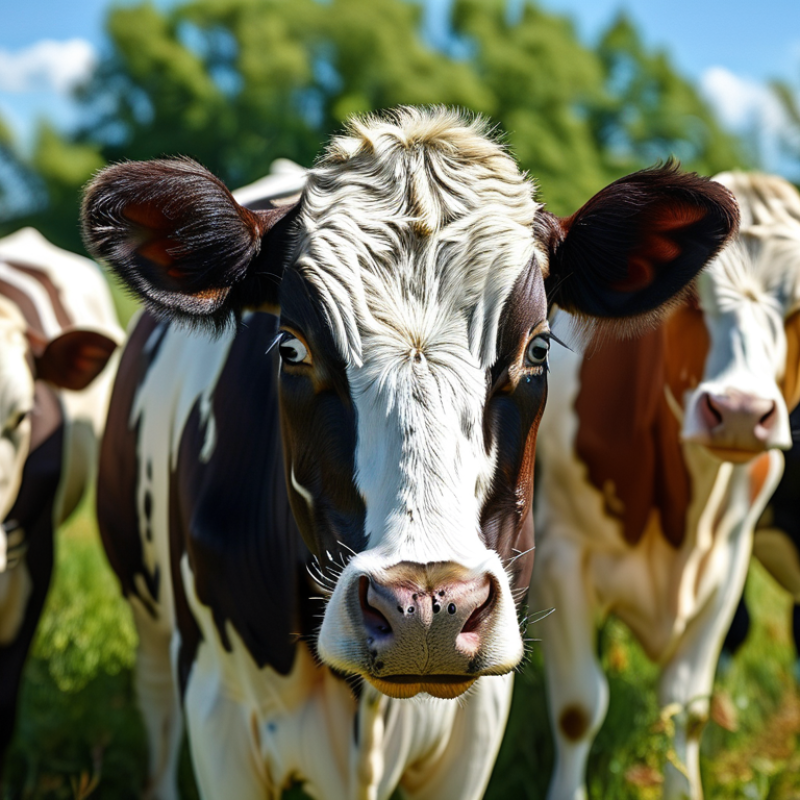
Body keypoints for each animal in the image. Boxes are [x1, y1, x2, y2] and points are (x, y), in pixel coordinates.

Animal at [81, 107, 738, 800]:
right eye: (291, 347)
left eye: (537, 348)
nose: (426, 609)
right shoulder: (219, 711)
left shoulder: (477, 726)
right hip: (148, 612)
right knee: (156, 708)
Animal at [532, 170, 800, 800]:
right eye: (693, 300)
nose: (739, 412)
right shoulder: (560, 552)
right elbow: (578, 707)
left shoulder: (728, 561)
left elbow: (687, 707)